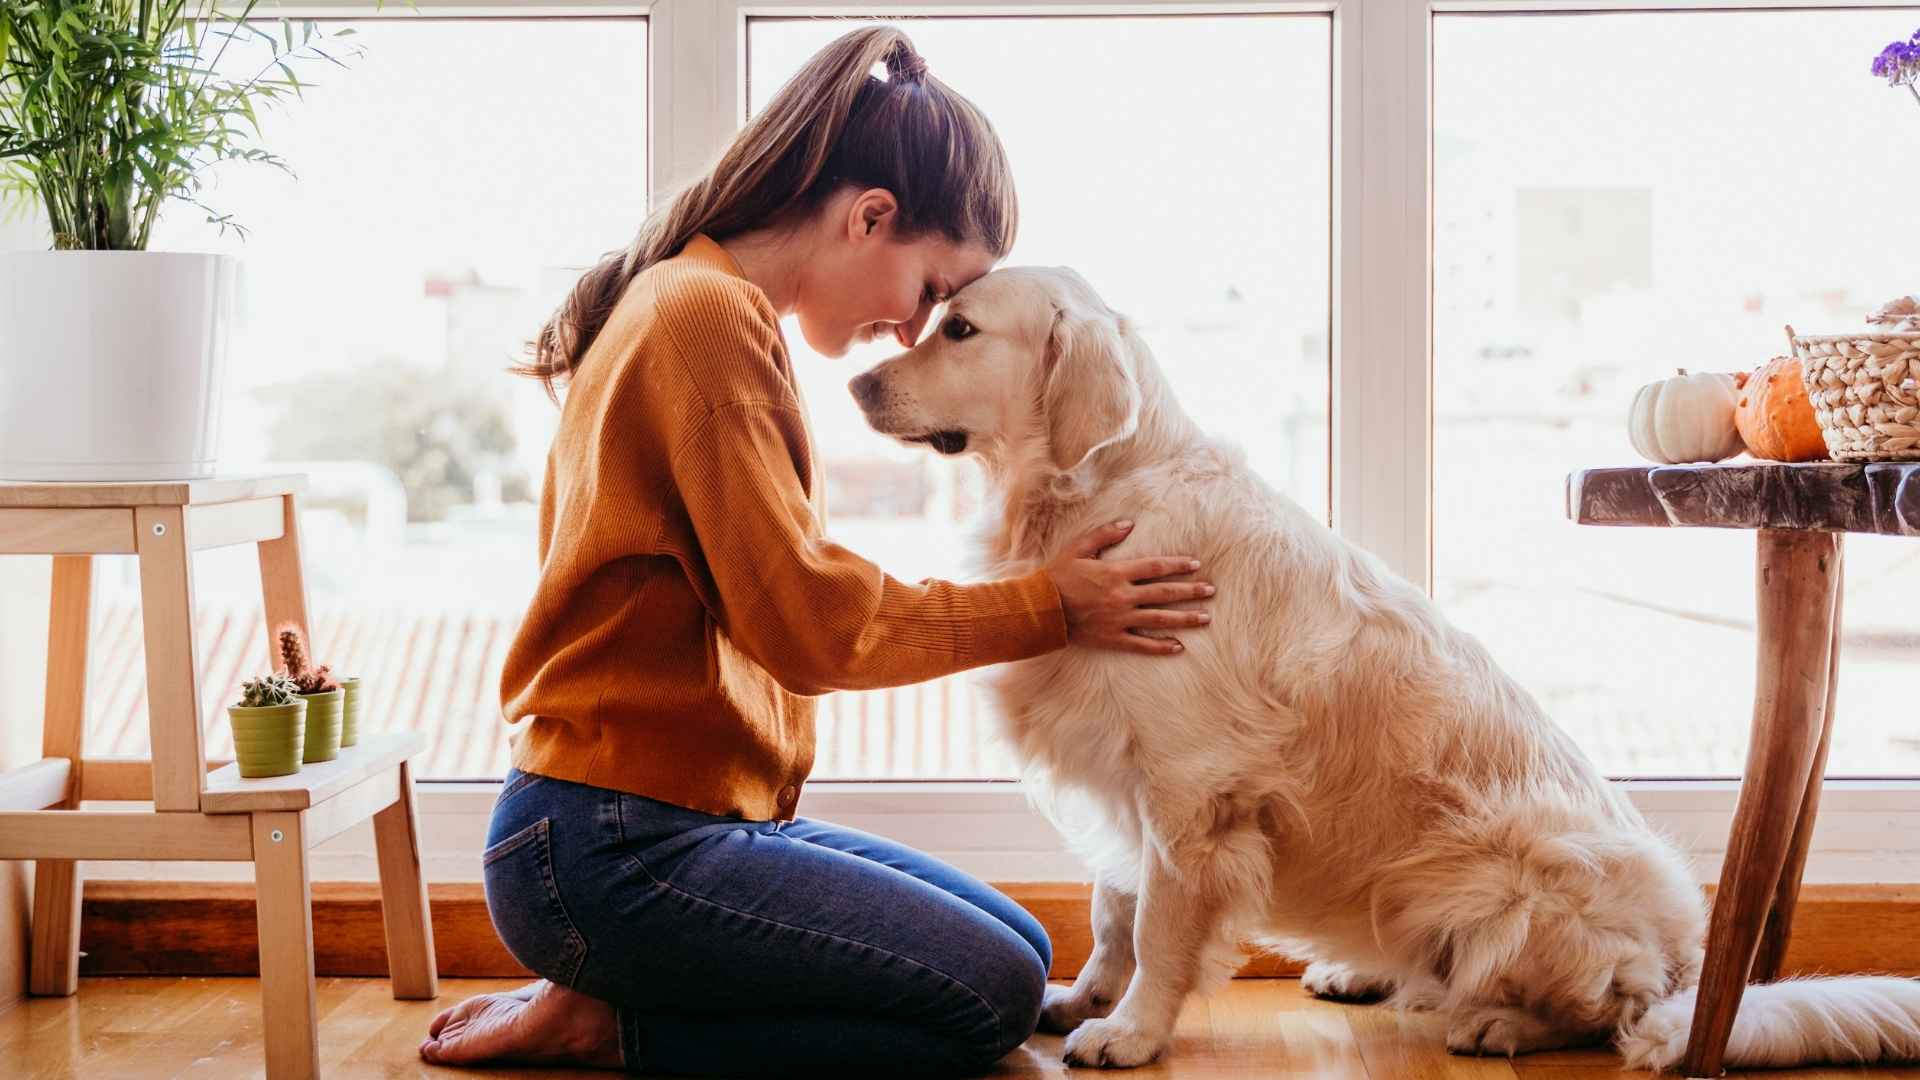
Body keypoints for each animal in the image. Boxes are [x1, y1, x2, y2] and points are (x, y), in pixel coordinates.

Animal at [848, 267, 1920, 1068]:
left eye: (959, 329)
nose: (855, 385)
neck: (1094, 495)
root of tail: (1689, 961)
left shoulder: (1190, 789)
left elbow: (1157, 925)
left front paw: (1133, 1032)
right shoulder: (1122, 772)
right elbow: (1114, 911)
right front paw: (1085, 998)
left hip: (1507, 875)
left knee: (1603, 1008)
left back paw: (1497, 1022)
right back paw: (1361, 972)